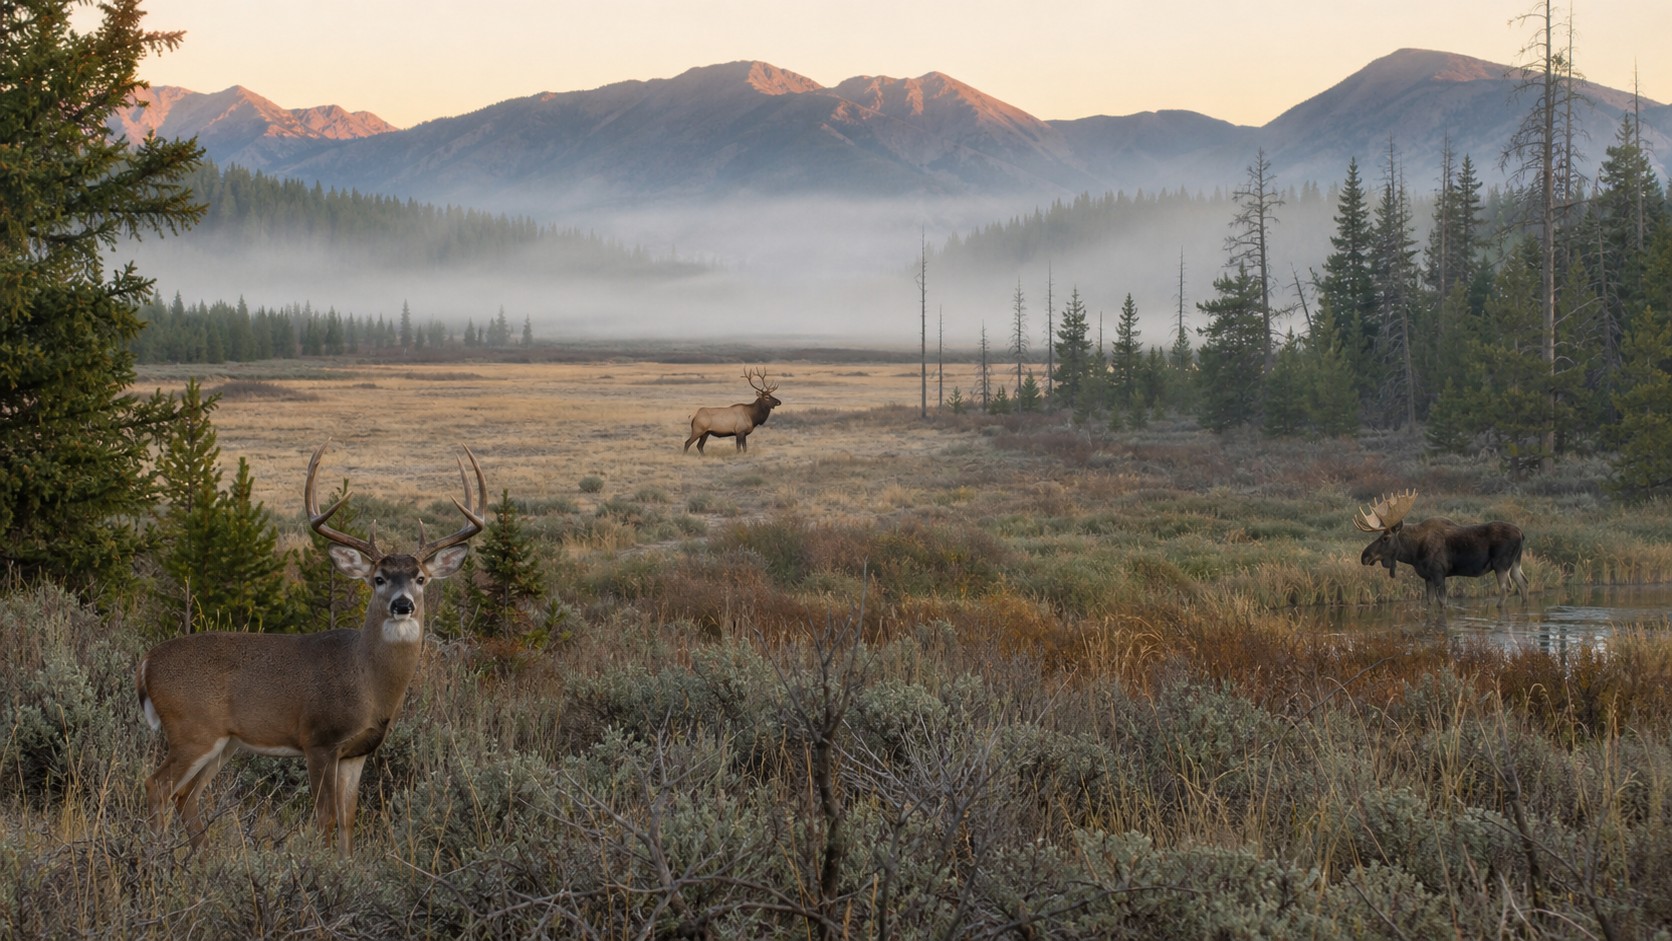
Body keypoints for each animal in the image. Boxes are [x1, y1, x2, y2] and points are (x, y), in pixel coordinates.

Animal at [135, 442, 485, 855]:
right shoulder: (318, 740)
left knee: (185, 796)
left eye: (420, 578)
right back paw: (156, 857)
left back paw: (201, 858)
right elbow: (325, 819)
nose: (403, 604)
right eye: (378, 578)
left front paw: (347, 865)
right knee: (157, 785)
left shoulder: (357, 752)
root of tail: (146, 662)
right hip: (191, 728)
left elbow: (348, 821)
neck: (368, 682)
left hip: (225, 743)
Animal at [1354, 489, 1528, 607]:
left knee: (1507, 588)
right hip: (1514, 563)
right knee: (1523, 583)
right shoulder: (1427, 577)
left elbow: (1442, 603)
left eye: (1385, 538)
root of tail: (1521, 532)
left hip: (1501, 564)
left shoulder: (1438, 574)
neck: (1413, 553)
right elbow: (1430, 603)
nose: (1364, 556)